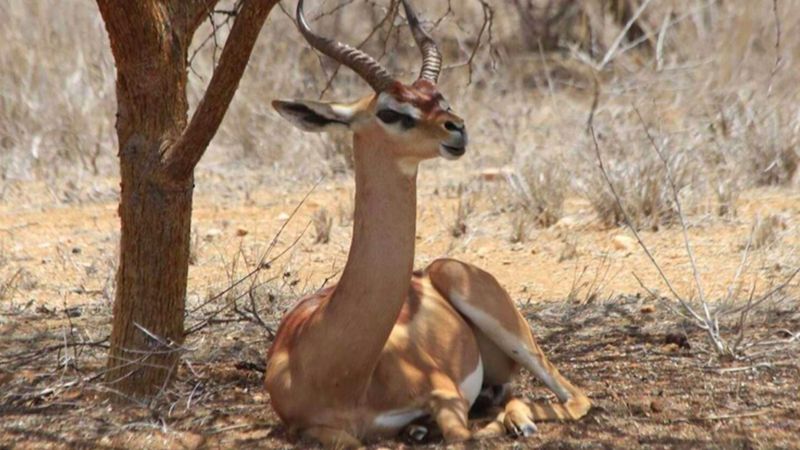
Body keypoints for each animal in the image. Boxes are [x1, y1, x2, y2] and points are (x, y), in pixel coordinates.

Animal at [266, 0, 592, 446]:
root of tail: (433, 269)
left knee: (573, 398)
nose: (457, 129)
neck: (337, 370)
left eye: (440, 98)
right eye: (389, 111)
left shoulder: (446, 393)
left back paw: (515, 420)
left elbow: (464, 435)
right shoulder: (309, 427)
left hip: (496, 320)